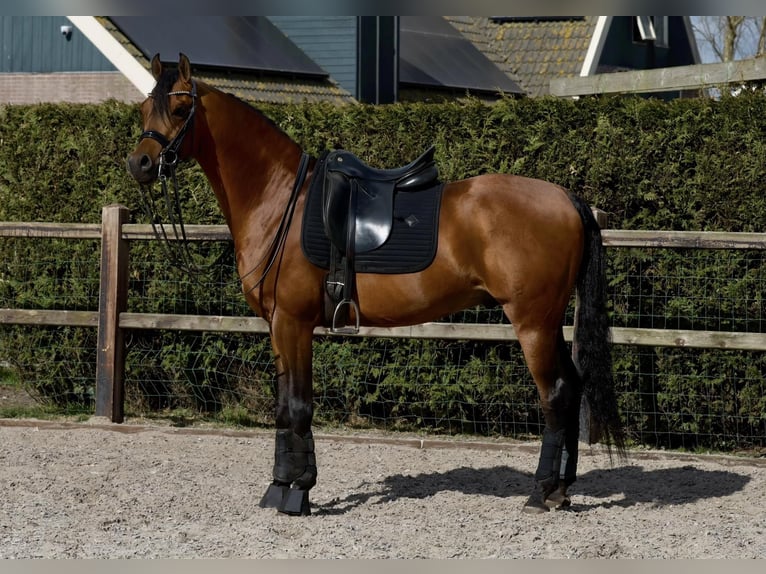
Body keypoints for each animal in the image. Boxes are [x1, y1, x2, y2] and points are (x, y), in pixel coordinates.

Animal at [127, 53, 625, 516]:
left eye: (180, 108)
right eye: (144, 107)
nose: (140, 163)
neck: (280, 200)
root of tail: (567, 198)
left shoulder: (292, 323)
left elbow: (297, 407)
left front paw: (296, 492)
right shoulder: (279, 326)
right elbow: (286, 406)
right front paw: (282, 487)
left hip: (533, 322)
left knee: (555, 394)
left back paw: (542, 492)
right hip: (549, 320)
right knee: (572, 387)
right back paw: (561, 489)